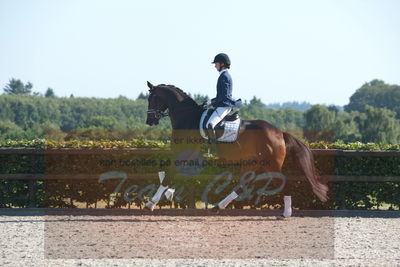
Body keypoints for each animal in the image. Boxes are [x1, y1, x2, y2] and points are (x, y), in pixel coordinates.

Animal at [144, 81, 328, 218]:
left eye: (153, 98)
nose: (149, 121)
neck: (188, 118)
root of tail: (279, 133)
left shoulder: (184, 154)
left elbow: (168, 175)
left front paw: (151, 203)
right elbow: (171, 174)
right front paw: (167, 195)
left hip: (271, 164)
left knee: (283, 182)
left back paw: (286, 213)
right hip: (252, 162)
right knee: (242, 184)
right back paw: (218, 207)